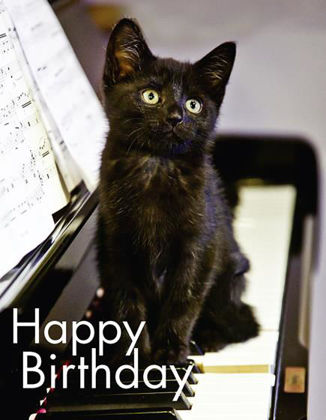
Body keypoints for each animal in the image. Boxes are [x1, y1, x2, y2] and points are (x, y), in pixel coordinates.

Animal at [97, 18, 258, 362]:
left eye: (194, 104)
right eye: (150, 96)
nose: (176, 117)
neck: (156, 167)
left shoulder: (199, 247)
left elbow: (184, 300)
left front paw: (171, 354)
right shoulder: (116, 249)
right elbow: (127, 305)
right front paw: (131, 359)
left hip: (231, 276)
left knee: (243, 323)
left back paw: (206, 340)